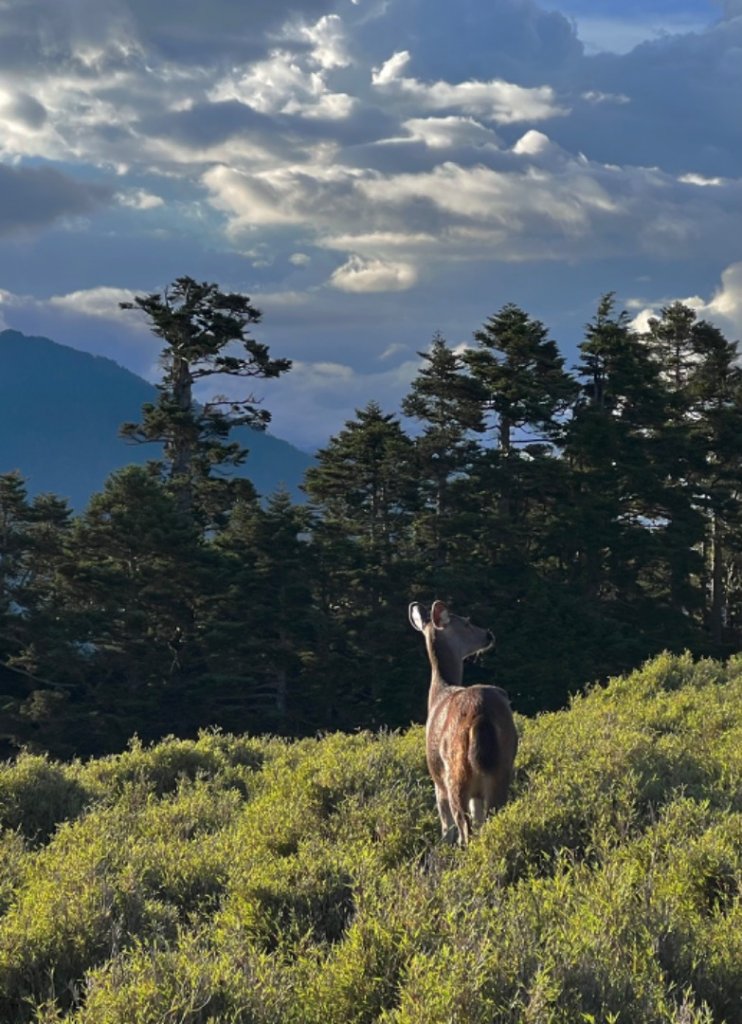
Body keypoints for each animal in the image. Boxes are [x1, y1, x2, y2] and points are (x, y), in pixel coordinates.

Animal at [407, 598, 517, 847]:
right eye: (466, 623)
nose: (488, 634)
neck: (438, 693)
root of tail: (480, 714)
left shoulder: (436, 778)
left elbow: (445, 826)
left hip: (454, 773)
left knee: (464, 828)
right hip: (502, 766)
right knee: (491, 816)